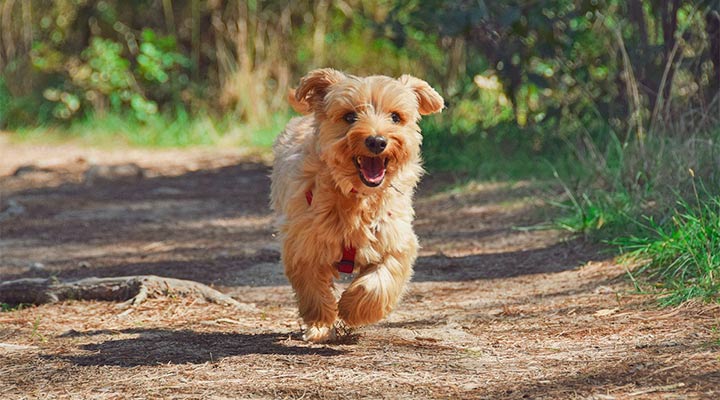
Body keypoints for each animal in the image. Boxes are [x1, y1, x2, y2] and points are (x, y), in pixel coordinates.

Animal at [270, 69, 442, 344]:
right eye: (349, 116)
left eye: (396, 117)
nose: (377, 141)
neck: (357, 197)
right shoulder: (303, 244)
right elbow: (313, 288)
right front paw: (321, 322)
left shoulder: (395, 240)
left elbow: (380, 282)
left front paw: (352, 308)